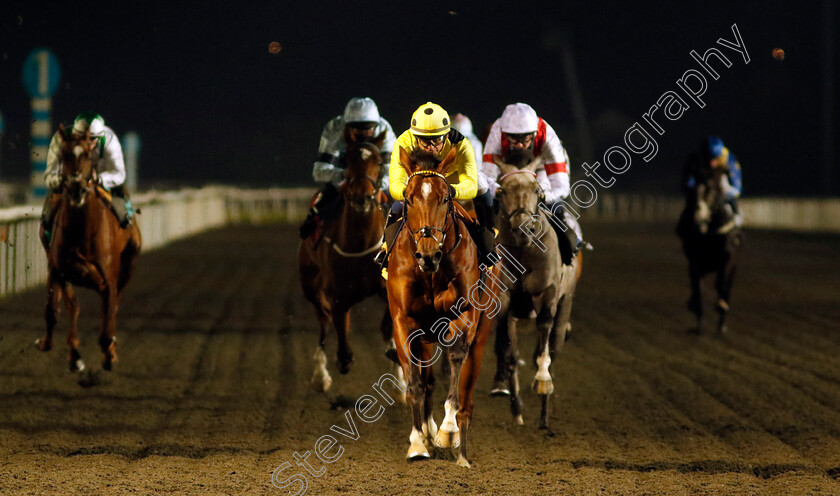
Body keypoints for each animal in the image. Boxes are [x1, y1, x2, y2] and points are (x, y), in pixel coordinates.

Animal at [35, 126, 141, 370]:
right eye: (63, 154)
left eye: (88, 156)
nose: (76, 189)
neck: (81, 231)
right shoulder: (57, 269)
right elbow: (56, 309)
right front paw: (65, 351)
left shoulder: (109, 278)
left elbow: (108, 316)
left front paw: (109, 354)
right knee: (74, 306)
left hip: (129, 264)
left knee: (113, 306)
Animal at [296, 131, 392, 392]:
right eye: (348, 161)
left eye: (378, 162)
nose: (362, 198)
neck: (360, 243)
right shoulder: (337, 293)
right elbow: (343, 345)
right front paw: (340, 361)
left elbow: (388, 326)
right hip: (310, 283)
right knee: (324, 319)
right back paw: (320, 374)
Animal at [390, 146, 502, 468]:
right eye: (408, 196)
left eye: (445, 198)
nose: (428, 255)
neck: (430, 274)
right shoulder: (404, 320)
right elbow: (414, 382)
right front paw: (418, 442)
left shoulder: (465, 314)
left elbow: (455, 359)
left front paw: (447, 431)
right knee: (426, 380)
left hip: (481, 332)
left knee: (468, 388)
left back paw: (460, 450)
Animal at [492, 153, 584, 428]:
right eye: (502, 191)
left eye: (536, 190)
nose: (523, 227)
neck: (525, 252)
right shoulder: (506, 302)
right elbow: (508, 350)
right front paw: (516, 407)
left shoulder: (548, 293)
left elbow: (544, 336)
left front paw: (543, 382)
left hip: (565, 303)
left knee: (553, 346)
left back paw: (545, 413)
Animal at [680, 167, 744, 334]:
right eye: (694, 190)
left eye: (711, 190)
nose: (698, 216)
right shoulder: (695, 262)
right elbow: (698, 289)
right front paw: (698, 319)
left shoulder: (728, 259)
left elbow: (721, 284)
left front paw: (721, 307)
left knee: (725, 286)